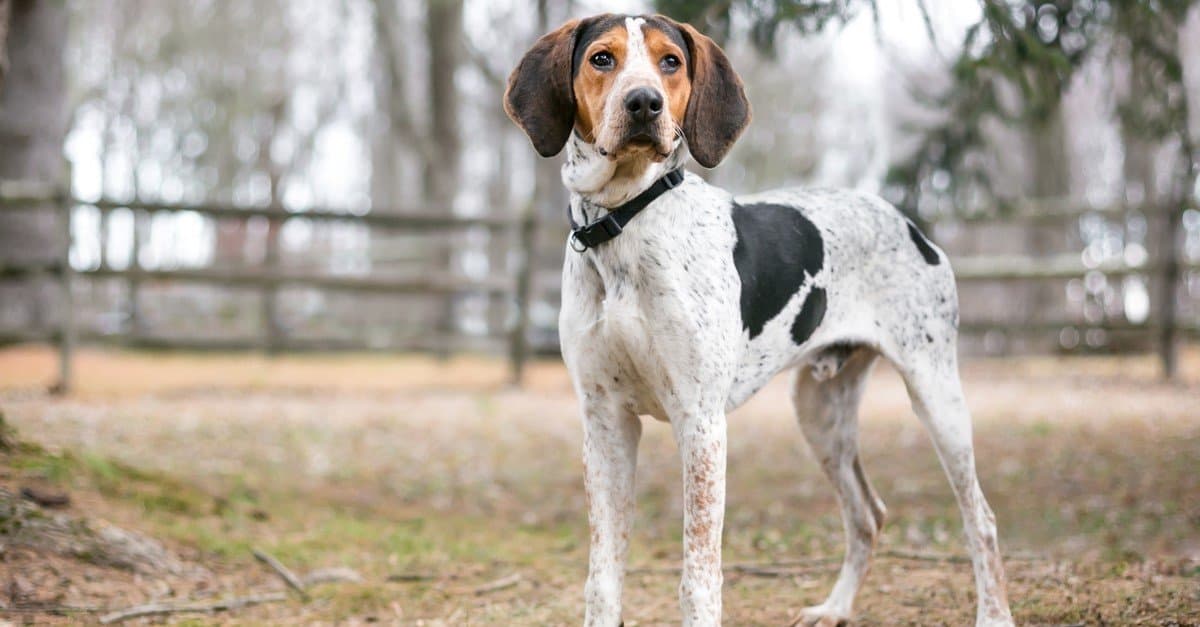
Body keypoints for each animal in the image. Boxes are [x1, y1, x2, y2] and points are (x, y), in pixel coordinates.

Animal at [504, 14, 1012, 624]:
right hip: (820, 412)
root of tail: (909, 224)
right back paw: (835, 607)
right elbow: (602, 579)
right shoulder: (605, 421)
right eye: (602, 59)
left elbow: (698, 580)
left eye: (671, 61)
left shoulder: (700, 423)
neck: (625, 221)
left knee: (981, 518)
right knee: (867, 514)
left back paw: (994, 614)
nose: (644, 103)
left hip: (936, 397)